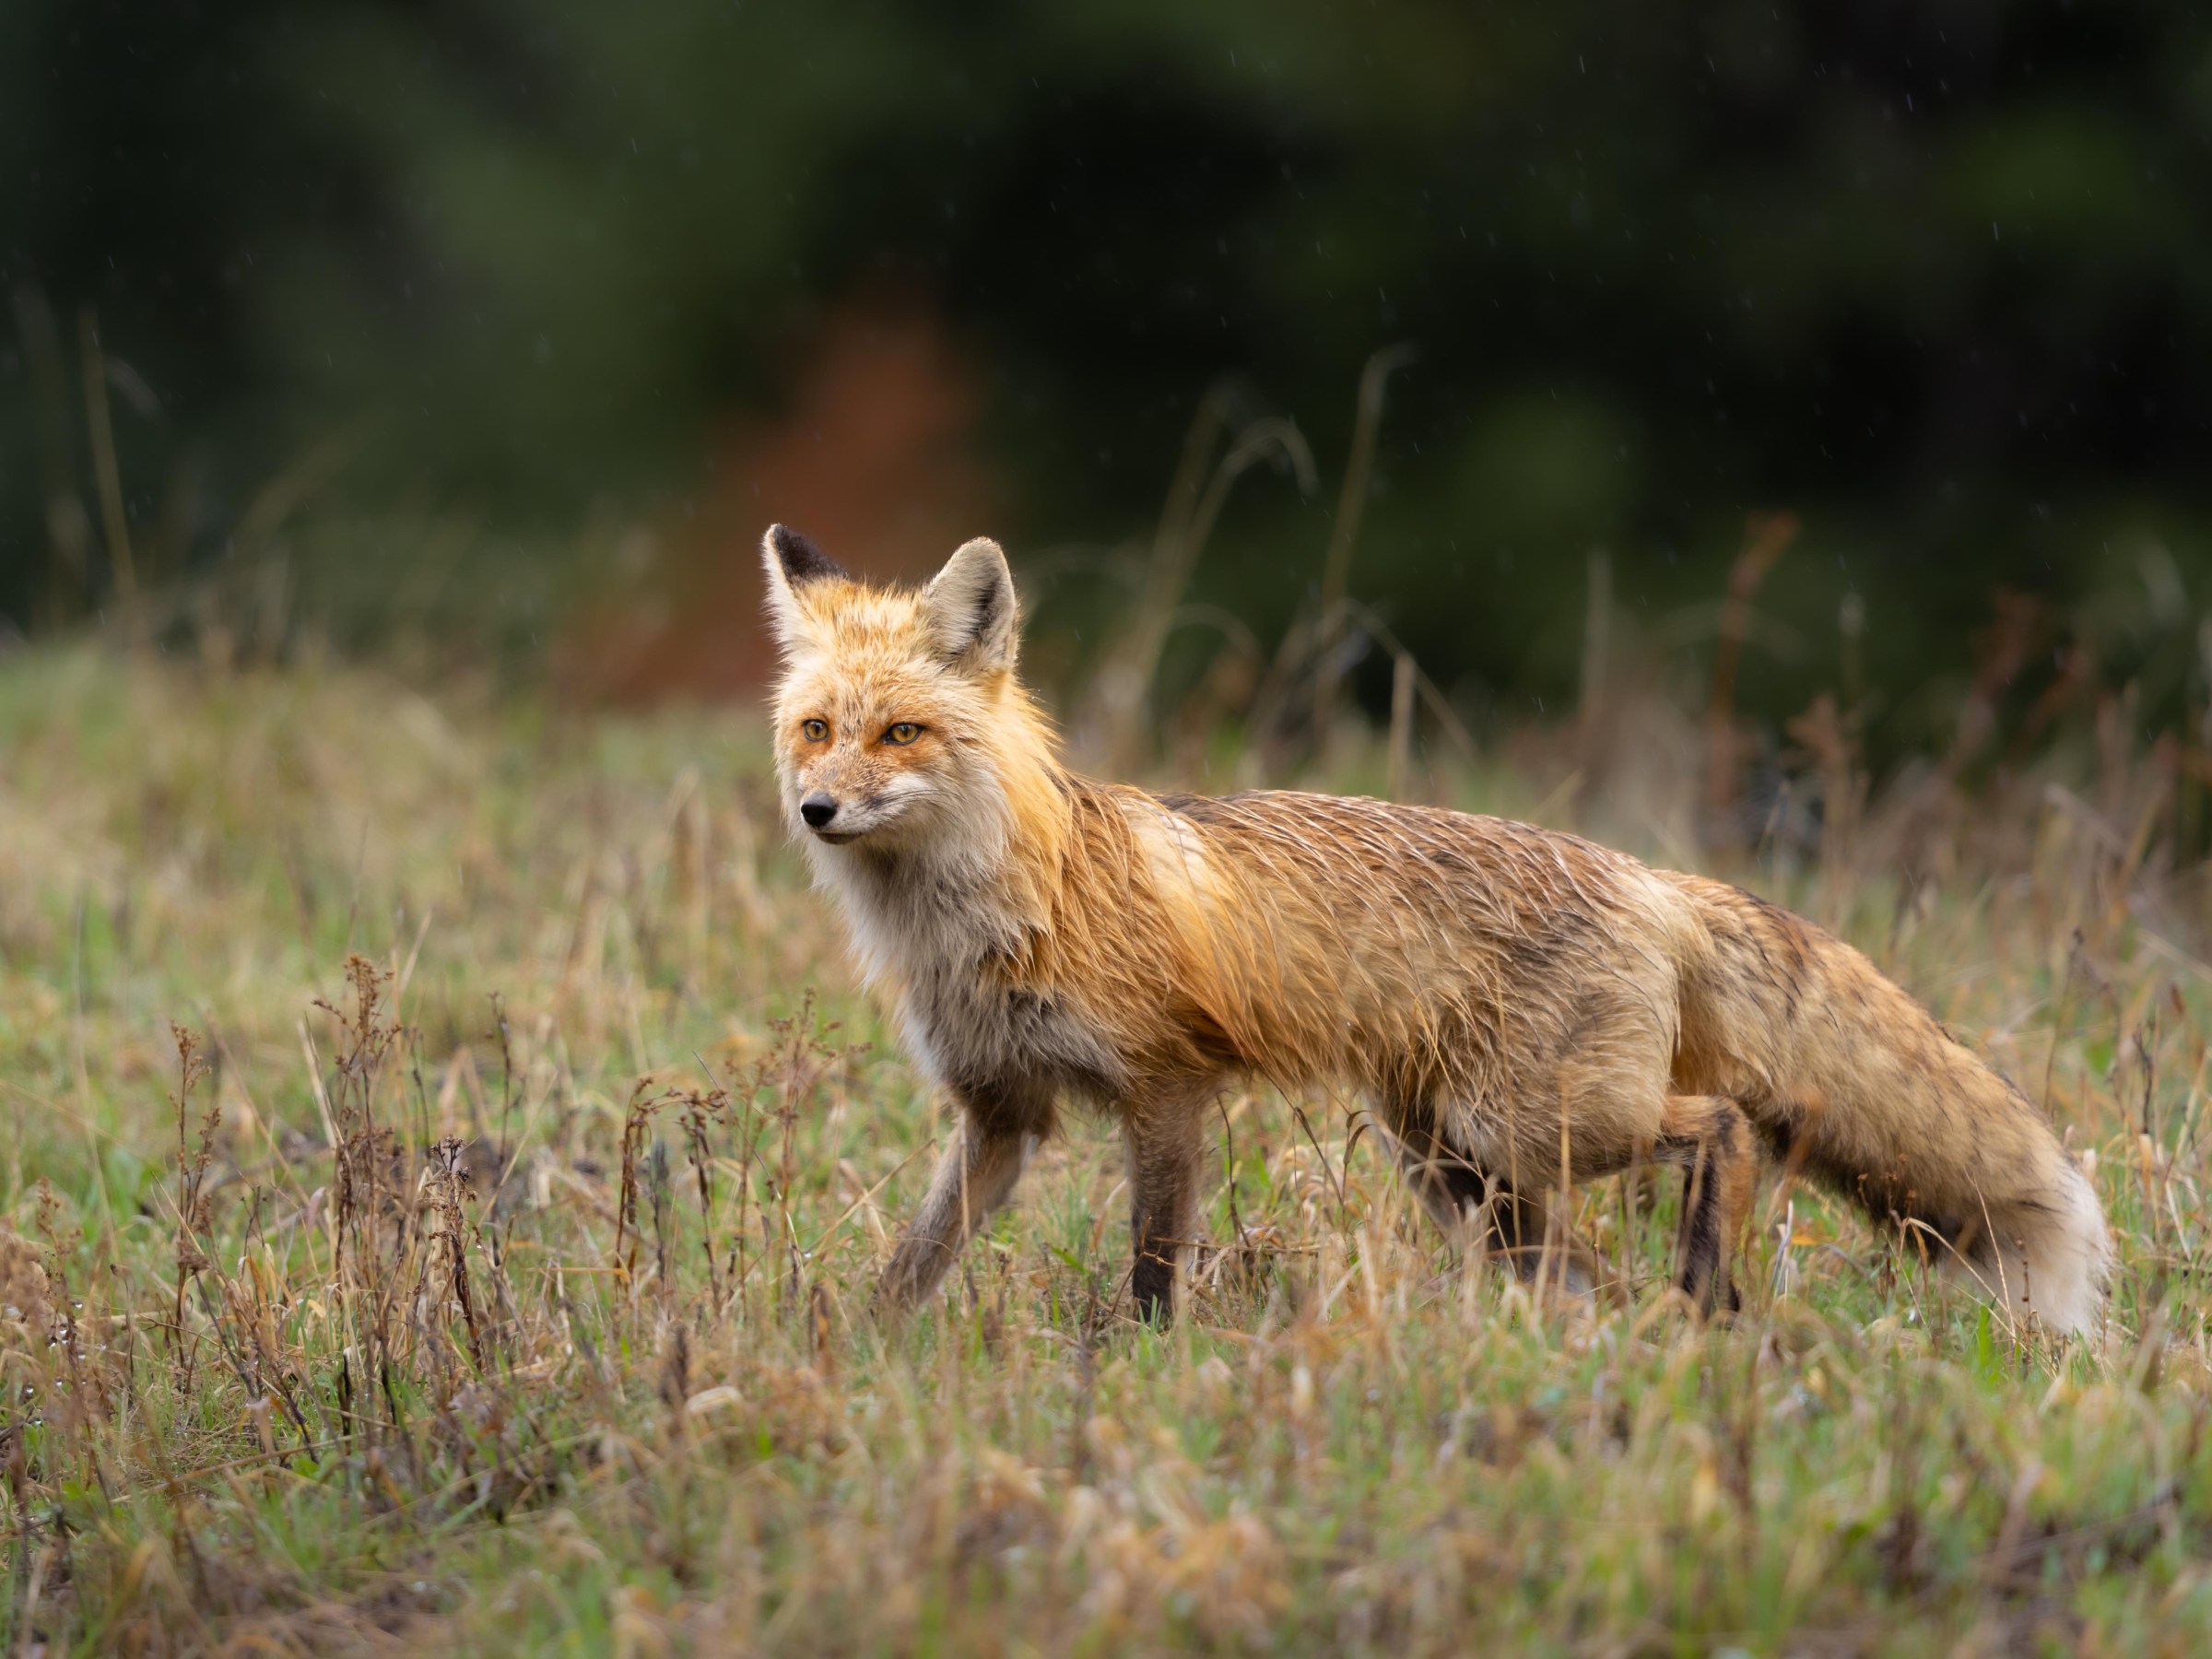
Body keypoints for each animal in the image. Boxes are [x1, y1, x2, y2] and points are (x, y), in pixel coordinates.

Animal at [761, 523, 2113, 1333]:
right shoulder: (1001, 1115)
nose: (817, 811)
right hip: (1458, 1161)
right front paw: (859, 1358)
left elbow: (1151, 1265)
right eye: (817, 730)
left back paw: (1702, 1291)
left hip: (1526, 1126)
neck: (987, 918)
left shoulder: (1165, 1088)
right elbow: (913, 1262)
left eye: (901, 735)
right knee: (1578, 1273)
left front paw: (1135, 1370)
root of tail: (1647, 875)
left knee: (1721, 1128)